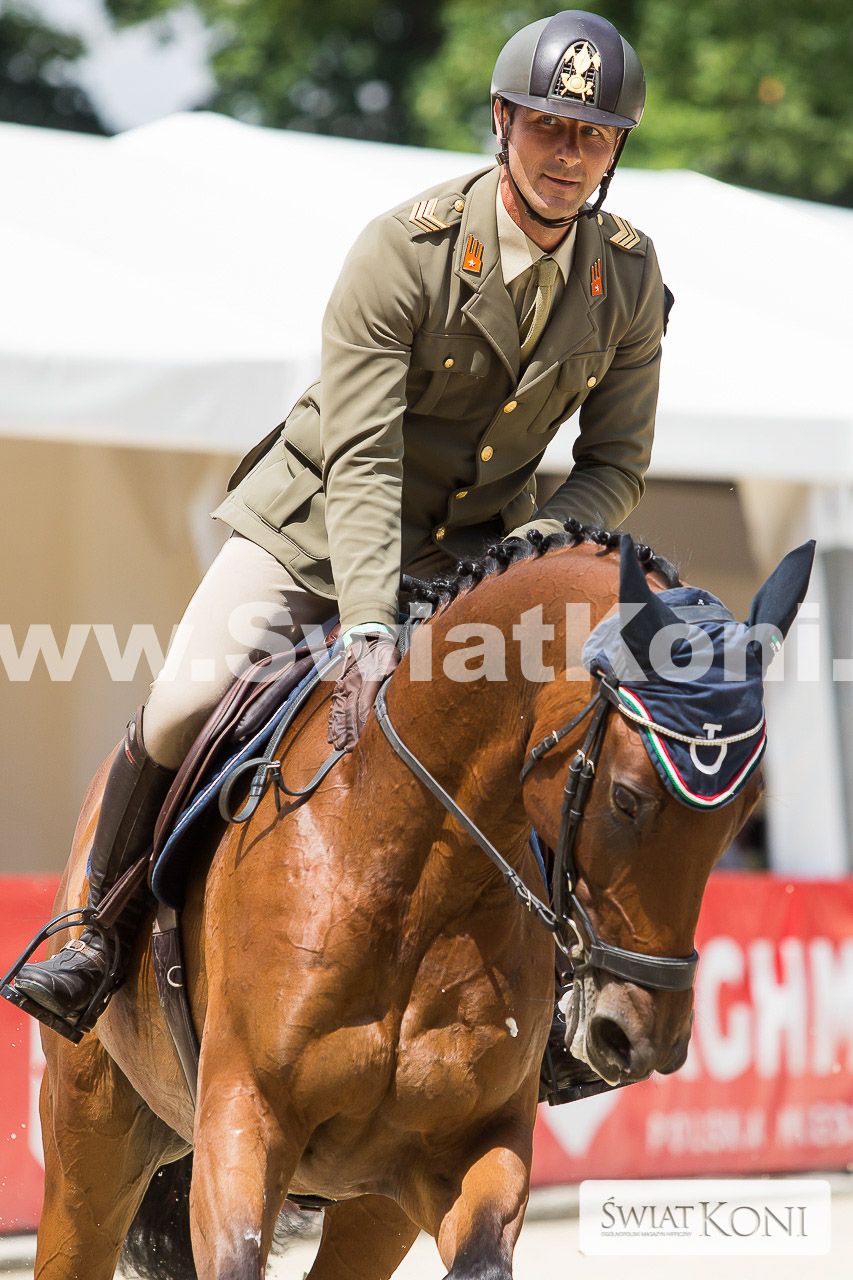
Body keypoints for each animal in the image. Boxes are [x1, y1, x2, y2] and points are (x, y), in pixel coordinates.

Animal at [29, 525, 812, 1280]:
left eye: (746, 811)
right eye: (626, 797)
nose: (646, 1038)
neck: (410, 879)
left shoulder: (471, 1148)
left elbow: (481, 1256)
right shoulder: (241, 1118)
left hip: (370, 1209)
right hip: (90, 1138)